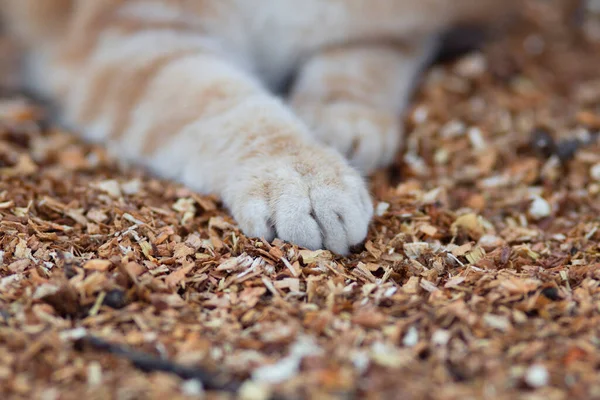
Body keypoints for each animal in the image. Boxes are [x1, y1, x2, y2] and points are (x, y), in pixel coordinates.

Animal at [1, 0, 516, 253]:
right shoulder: (132, 42)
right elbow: (225, 106)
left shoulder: (396, 24)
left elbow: (365, 58)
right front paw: (299, 178)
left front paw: (341, 121)